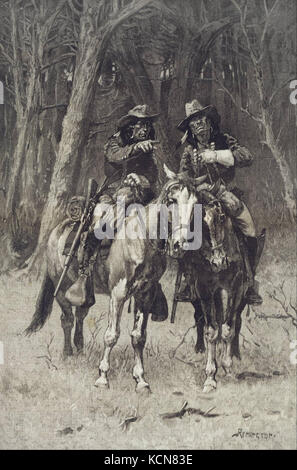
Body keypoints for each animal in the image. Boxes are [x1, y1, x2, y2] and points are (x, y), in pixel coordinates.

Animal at [24, 167, 206, 392]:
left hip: (86, 294)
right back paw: (67, 353)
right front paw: (102, 377)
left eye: (196, 203)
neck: (141, 239)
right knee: (67, 320)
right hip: (62, 290)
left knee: (80, 315)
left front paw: (141, 380)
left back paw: (80, 348)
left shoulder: (145, 295)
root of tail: (59, 228)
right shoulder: (118, 295)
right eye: (172, 200)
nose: (180, 244)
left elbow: (138, 337)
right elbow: (111, 335)